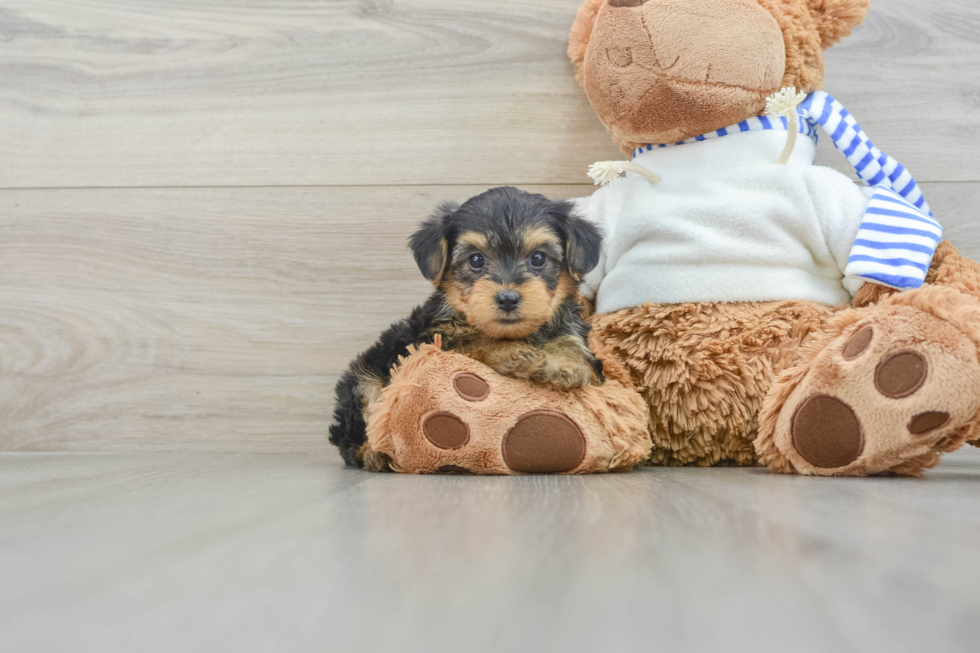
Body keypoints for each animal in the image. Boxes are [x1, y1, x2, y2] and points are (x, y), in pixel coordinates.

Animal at [330, 185, 604, 468]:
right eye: (476, 260)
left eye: (538, 258)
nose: (508, 298)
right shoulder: (432, 336)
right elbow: (473, 339)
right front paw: (512, 353)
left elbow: (573, 344)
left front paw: (566, 364)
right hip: (364, 377)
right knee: (356, 430)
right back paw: (376, 454)